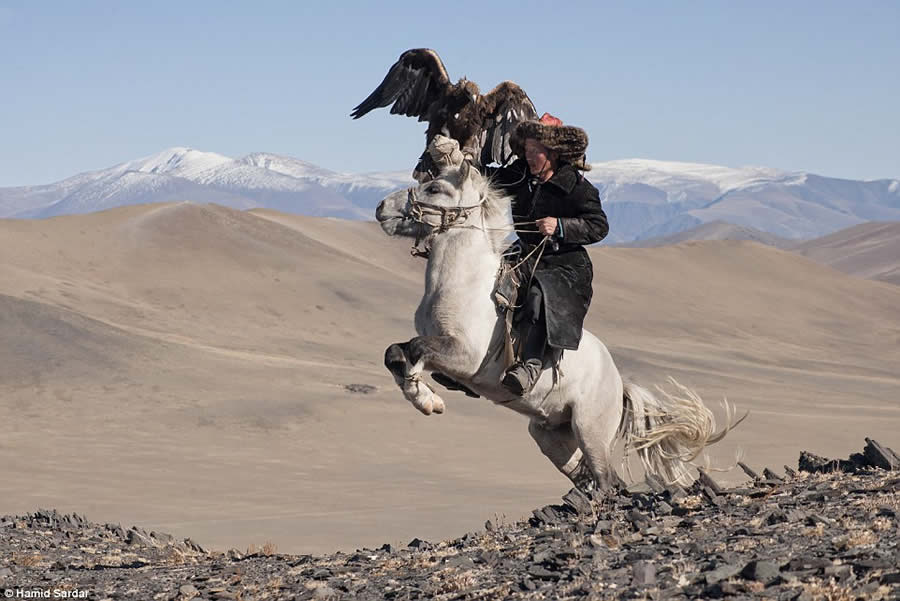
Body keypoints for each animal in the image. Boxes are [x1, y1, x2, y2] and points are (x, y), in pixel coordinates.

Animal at [376, 152, 736, 490]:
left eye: (435, 188)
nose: (381, 208)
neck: (465, 282)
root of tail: (619, 384)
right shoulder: (442, 352)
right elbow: (395, 352)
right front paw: (425, 397)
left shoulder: (465, 357)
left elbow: (417, 350)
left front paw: (427, 400)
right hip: (551, 436)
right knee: (593, 476)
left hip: (590, 431)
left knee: (606, 479)